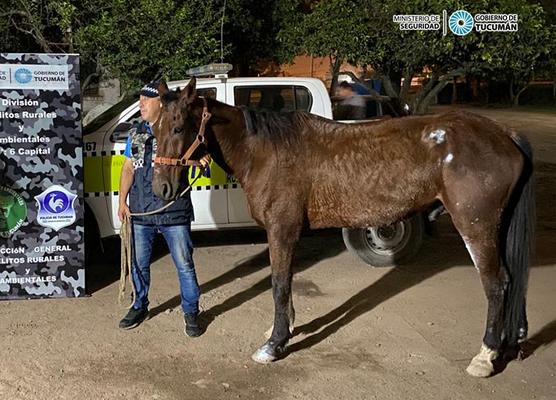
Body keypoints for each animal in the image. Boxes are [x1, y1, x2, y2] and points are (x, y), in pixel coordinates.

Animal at [151, 78, 536, 378]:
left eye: (179, 127)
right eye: (153, 128)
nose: (162, 189)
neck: (265, 150)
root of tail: (505, 134)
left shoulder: (281, 229)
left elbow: (278, 284)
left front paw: (274, 344)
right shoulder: (288, 233)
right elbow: (286, 281)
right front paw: (285, 328)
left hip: (476, 226)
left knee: (496, 284)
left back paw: (484, 356)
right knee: (513, 281)